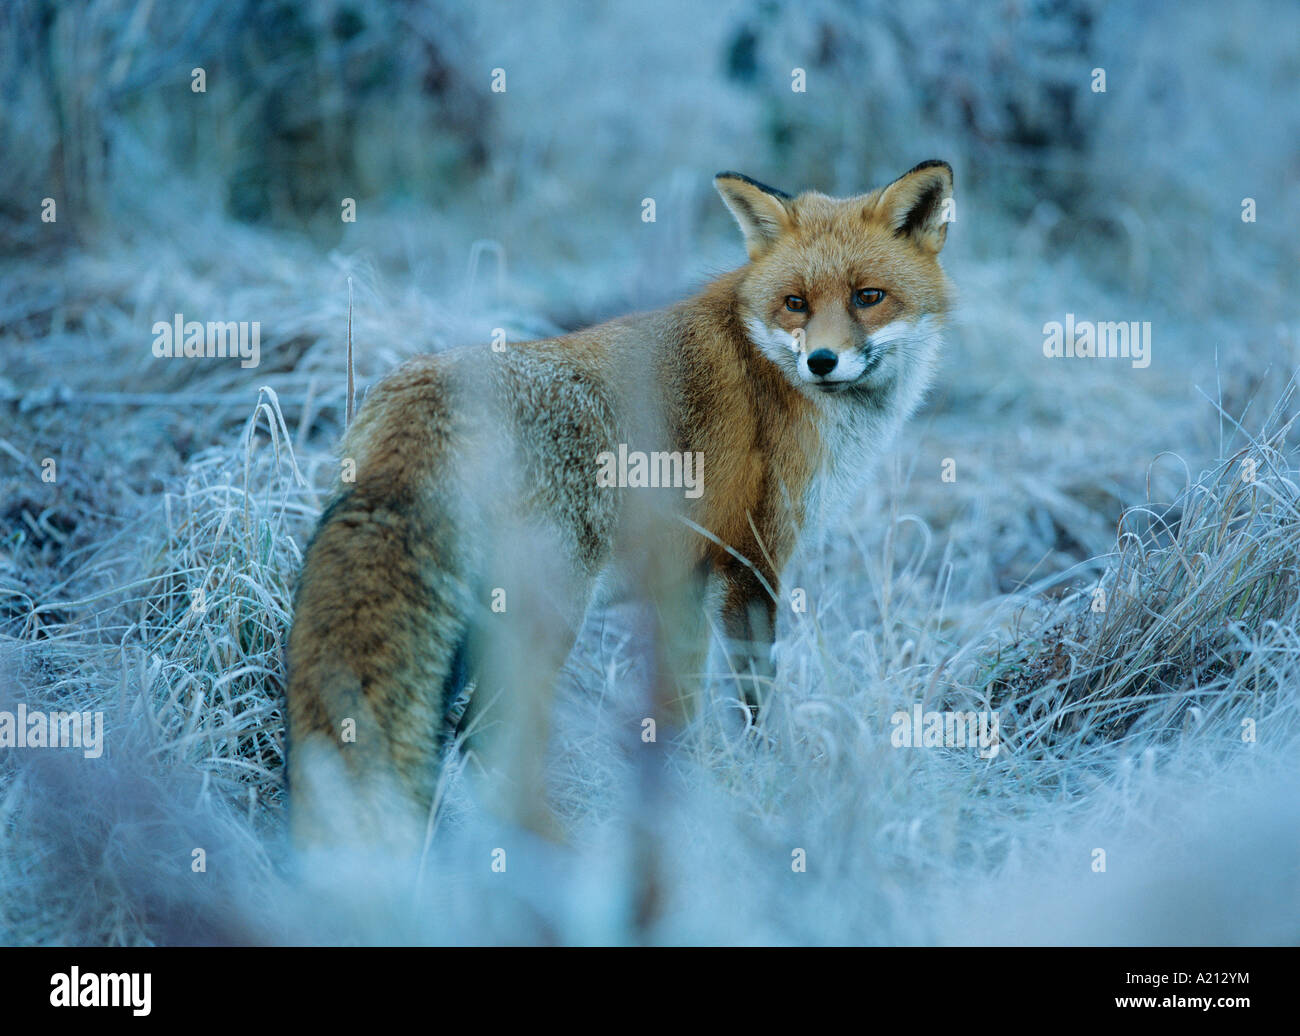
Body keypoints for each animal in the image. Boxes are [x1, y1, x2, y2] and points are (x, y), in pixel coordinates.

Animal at [287, 159, 956, 842]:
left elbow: (680, 706)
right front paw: (772, 782)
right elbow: (756, 700)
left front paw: (679, 798)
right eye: (795, 303)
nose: (822, 361)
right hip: (550, 612)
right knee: (485, 734)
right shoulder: (752, 562)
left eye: (868, 297)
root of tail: (418, 393)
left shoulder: (686, 576)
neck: (769, 370)